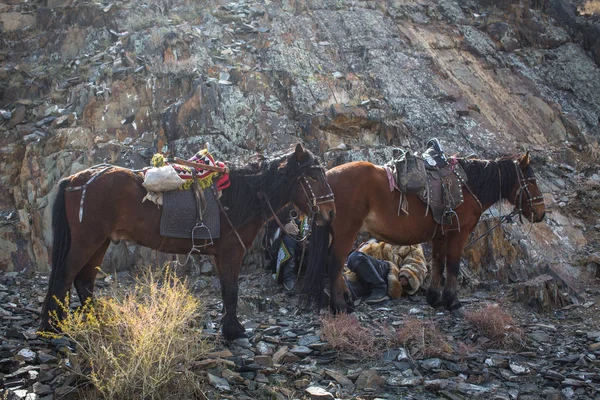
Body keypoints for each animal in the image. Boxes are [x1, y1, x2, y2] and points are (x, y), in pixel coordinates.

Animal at [39, 145, 336, 340]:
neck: (240, 196)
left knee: (84, 282)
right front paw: (233, 331)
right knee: (65, 277)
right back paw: (51, 327)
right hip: (87, 241)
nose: (330, 212)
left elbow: (227, 291)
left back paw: (95, 321)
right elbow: (231, 291)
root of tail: (75, 179)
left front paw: (231, 328)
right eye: (312, 176)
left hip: (100, 242)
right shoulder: (230, 252)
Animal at [302, 153, 548, 312]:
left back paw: (345, 300)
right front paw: (452, 301)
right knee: (334, 263)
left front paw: (434, 298)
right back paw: (340, 305)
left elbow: (438, 263)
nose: (541, 213)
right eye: (532, 181)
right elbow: (453, 265)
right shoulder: (458, 234)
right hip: (346, 233)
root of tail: (327, 179)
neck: (468, 187)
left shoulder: (440, 235)